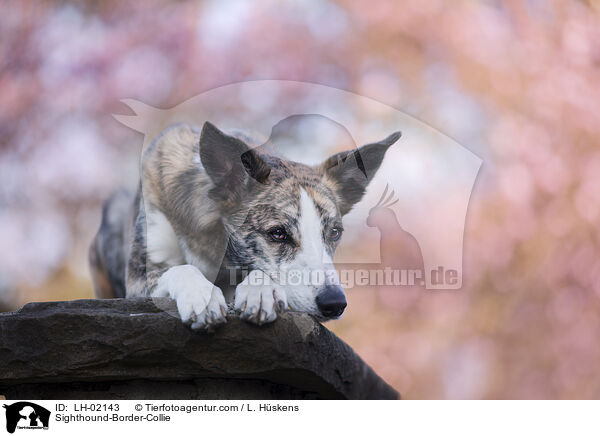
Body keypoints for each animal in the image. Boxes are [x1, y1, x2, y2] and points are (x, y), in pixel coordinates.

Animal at [89, 121, 400, 328]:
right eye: (277, 233)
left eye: (334, 233)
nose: (334, 304)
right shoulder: (139, 280)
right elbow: (180, 268)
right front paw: (202, 295)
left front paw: (260, 292)